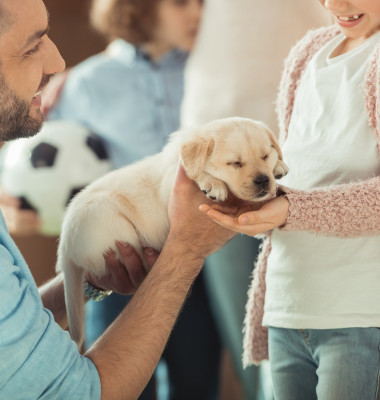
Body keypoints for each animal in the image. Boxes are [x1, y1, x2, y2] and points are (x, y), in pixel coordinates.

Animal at [56, 116, 288, 346]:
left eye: (265, 156)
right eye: (235, 163)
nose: (263, 180)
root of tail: (65, 246)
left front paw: (279, 166)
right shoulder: (171, 186)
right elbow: (197, 174)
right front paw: (212, 183)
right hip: (108, 220)